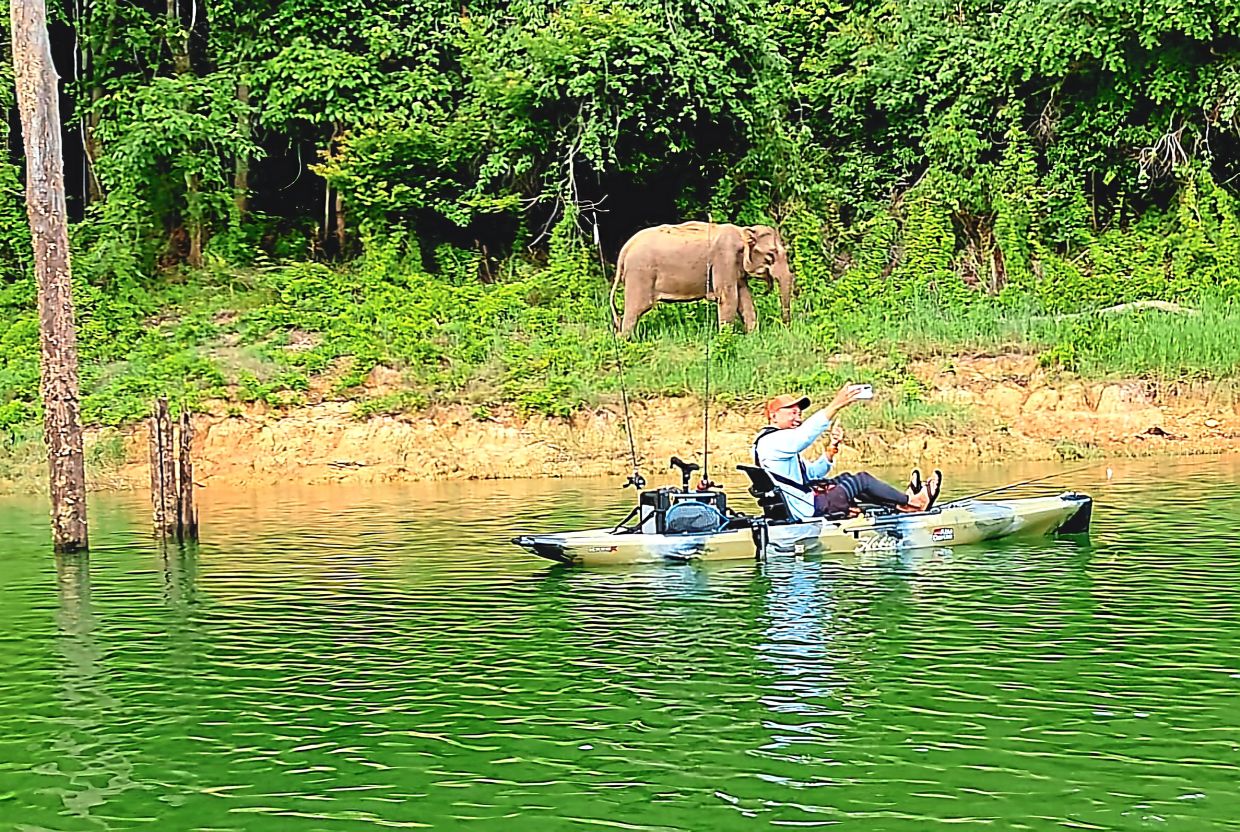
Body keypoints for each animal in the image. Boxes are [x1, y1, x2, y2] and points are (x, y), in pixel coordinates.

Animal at [609, 221, 794, 336]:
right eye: (771, 255)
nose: (785, 326)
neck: (742, 231)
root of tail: (625, 249)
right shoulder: (724, 259)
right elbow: (729, 298)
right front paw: (725, 339)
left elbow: (744, 299)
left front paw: (752, 336)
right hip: (640, 274)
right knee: (636, 309)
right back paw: (625, 342)